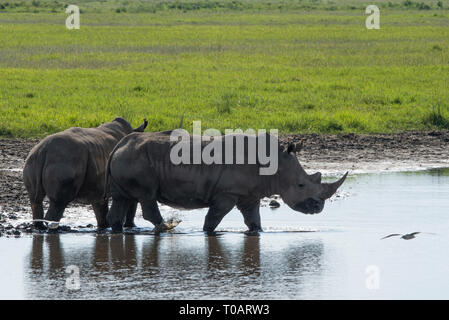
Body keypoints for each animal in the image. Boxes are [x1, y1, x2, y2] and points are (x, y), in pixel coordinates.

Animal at [105, 131, 346, 234]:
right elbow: (213, 218)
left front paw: (258, 232)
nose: (318, 208)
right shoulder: (227, 194)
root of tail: (118, 145)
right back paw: (167, 228)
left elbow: (253, 220)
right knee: (147, 195)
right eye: (301, 185)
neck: (276, 165)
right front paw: (207, 233)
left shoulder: (249, 195)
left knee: (121, 198)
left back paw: (116, 231)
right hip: (136, 160)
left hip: (126, 158)